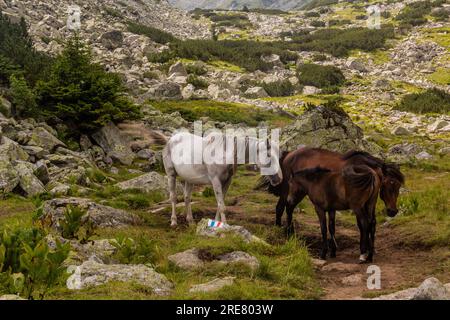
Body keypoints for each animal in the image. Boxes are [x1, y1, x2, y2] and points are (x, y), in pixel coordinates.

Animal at [256, 147, 404, 232]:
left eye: (398, 186)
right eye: (387, 185)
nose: (393, 211)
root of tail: (288, 154)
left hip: (299, 192)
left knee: (289, 207)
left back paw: (289, 229)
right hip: (288, 190)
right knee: (281, 207)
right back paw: (279, 228)